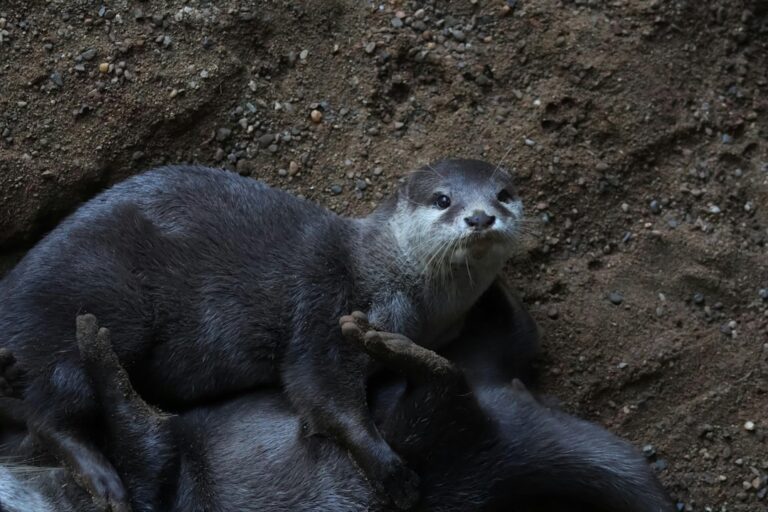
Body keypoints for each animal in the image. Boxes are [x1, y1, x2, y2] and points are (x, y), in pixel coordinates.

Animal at [0, 159, 524, 509]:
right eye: (443, 199)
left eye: (503, 193)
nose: (480, 217)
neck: (389, 279)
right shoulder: (324, 312)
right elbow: (323, 394)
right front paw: (392, 473)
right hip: (96, 308)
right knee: (49, 412)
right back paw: (104, 481)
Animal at [0, 284, 674, 512]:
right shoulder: (147, 483)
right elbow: (143, 432)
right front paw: (94, 344)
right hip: (433, 427)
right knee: (447, 383)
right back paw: (382, 341)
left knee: (511, 335)